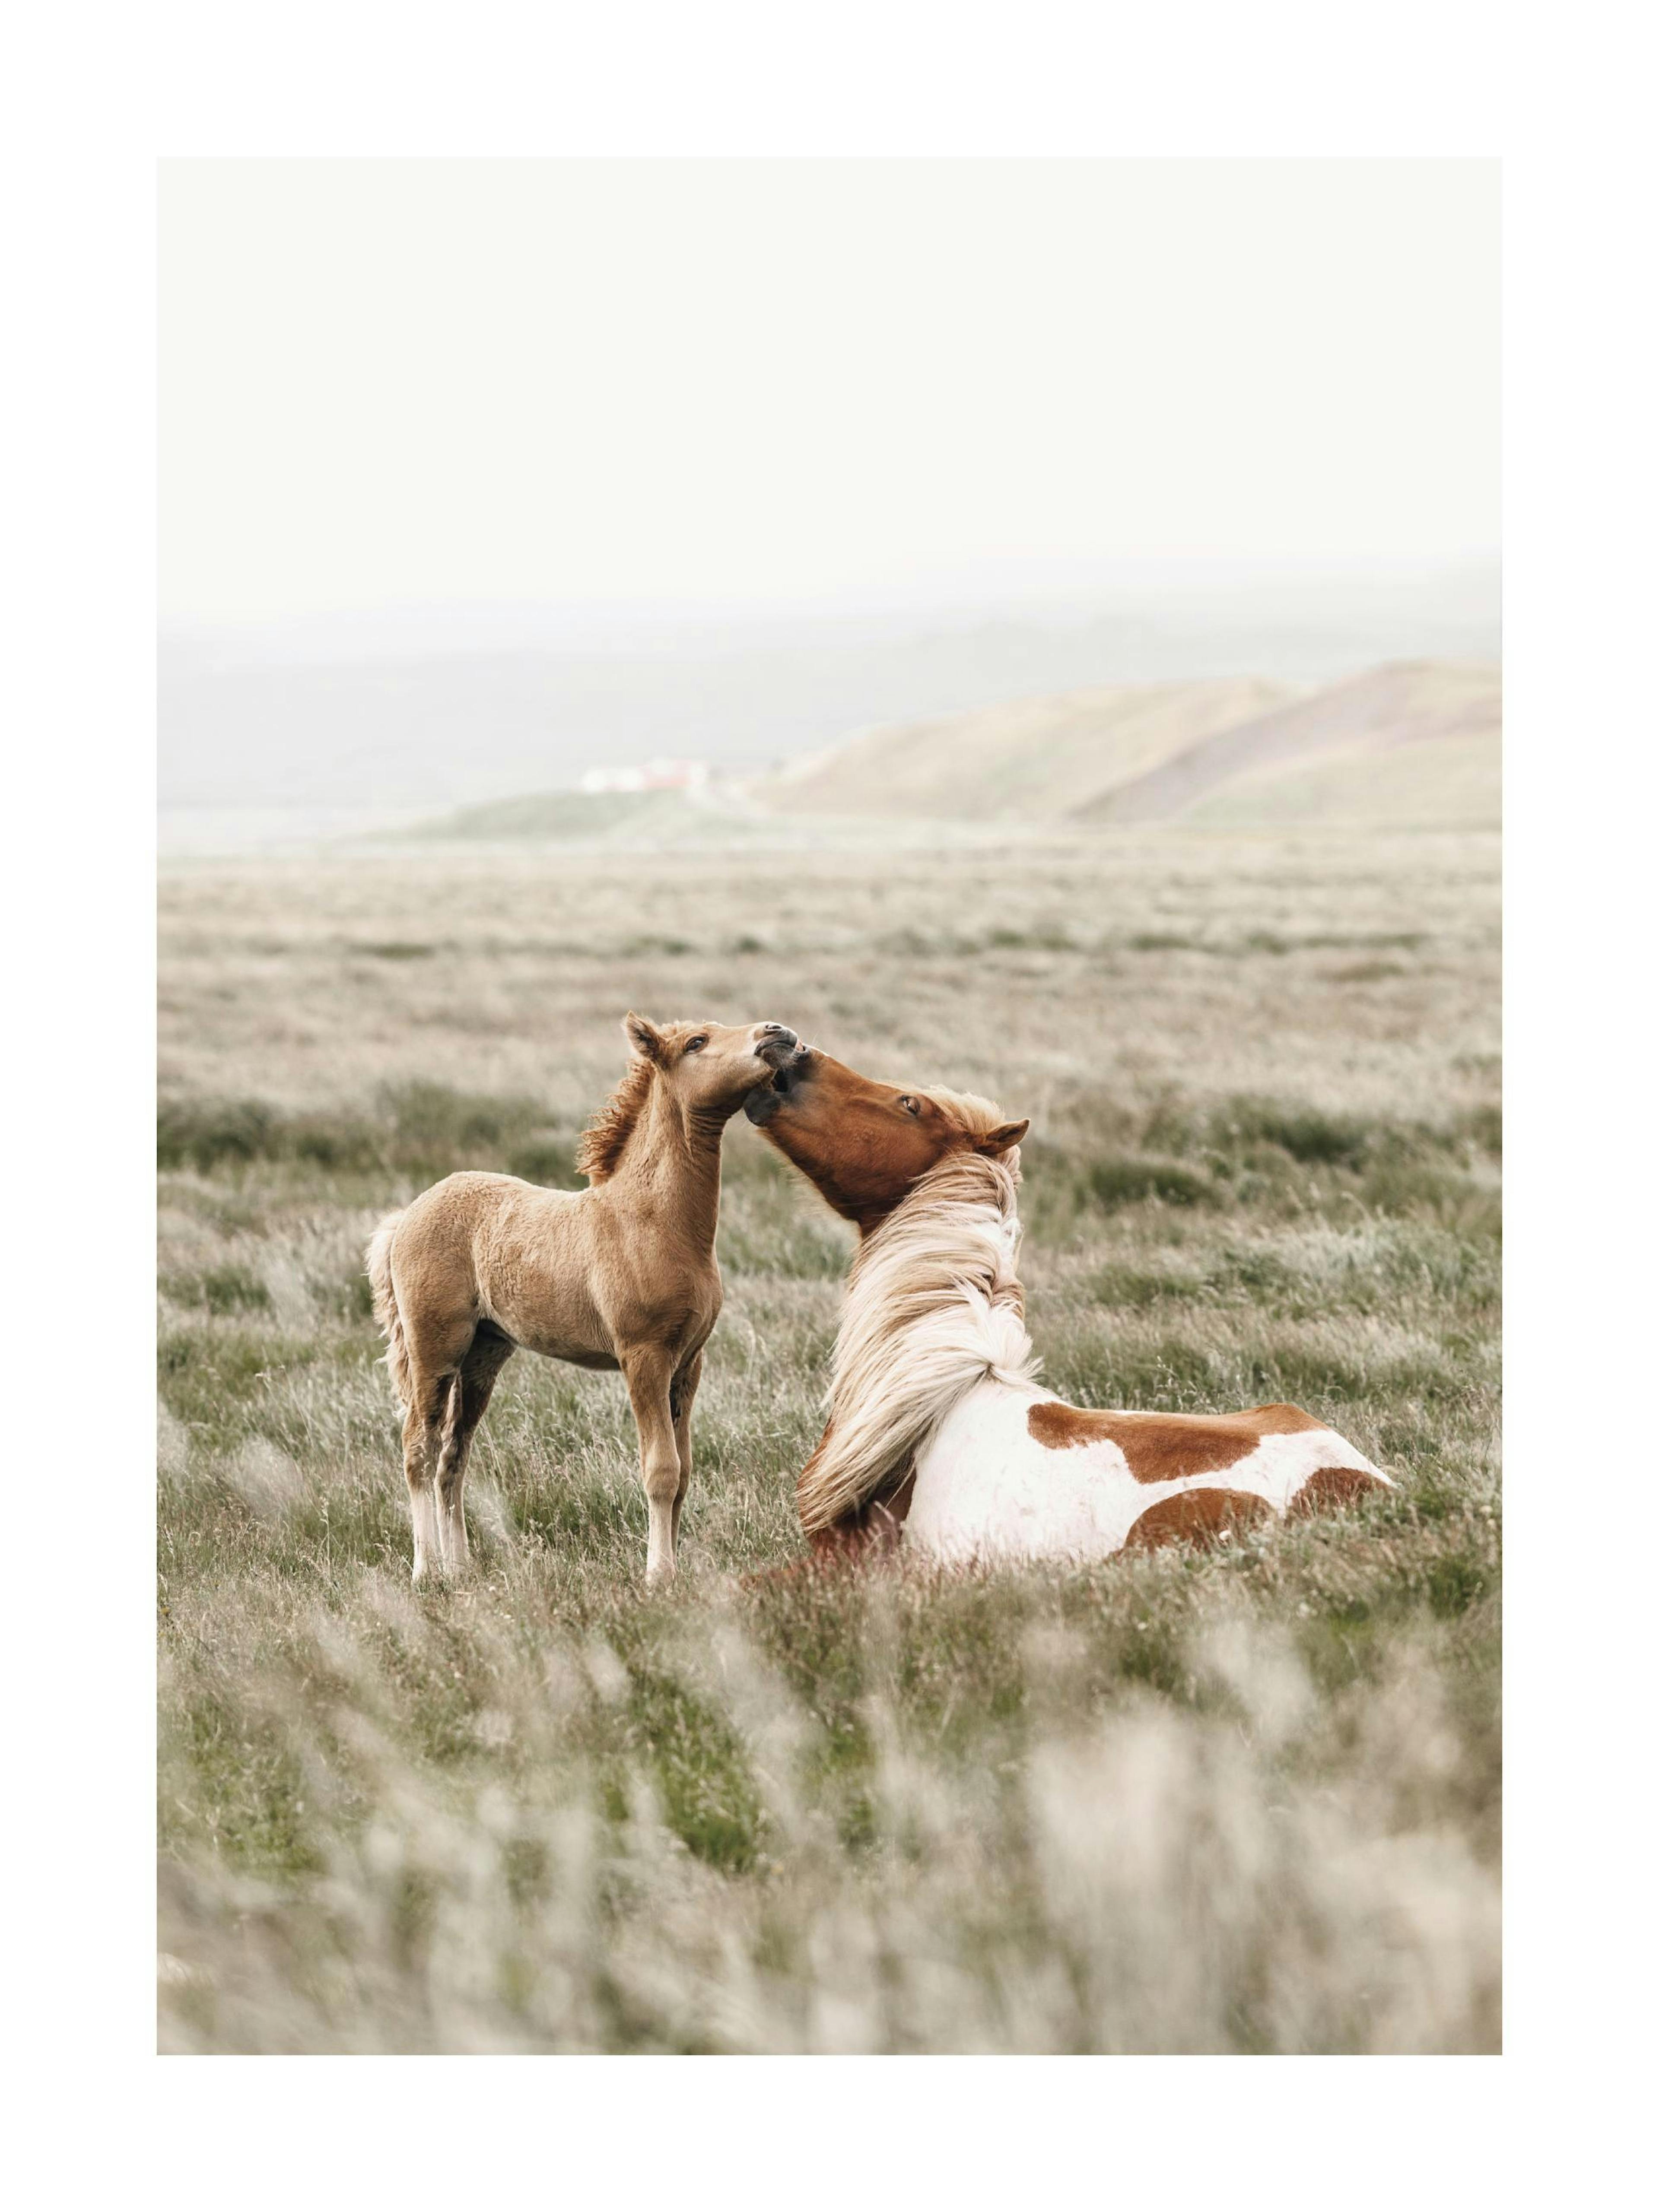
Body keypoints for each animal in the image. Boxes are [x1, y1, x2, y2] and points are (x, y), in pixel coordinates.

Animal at [368, 1014, 802, 1584]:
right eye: (697, 1043)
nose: (778, 1033)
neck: (656, 1223)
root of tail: (406, 1217)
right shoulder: (644, 1357)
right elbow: (661, 1470)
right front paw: (658, 1575)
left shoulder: (690, 1362)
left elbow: (685, 1473)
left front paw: (675, 1568)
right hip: (434, 1349)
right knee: (419, 1446)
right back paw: (427, 1570)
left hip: (484, 1356)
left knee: (453, 1457)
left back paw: (462, 1569)